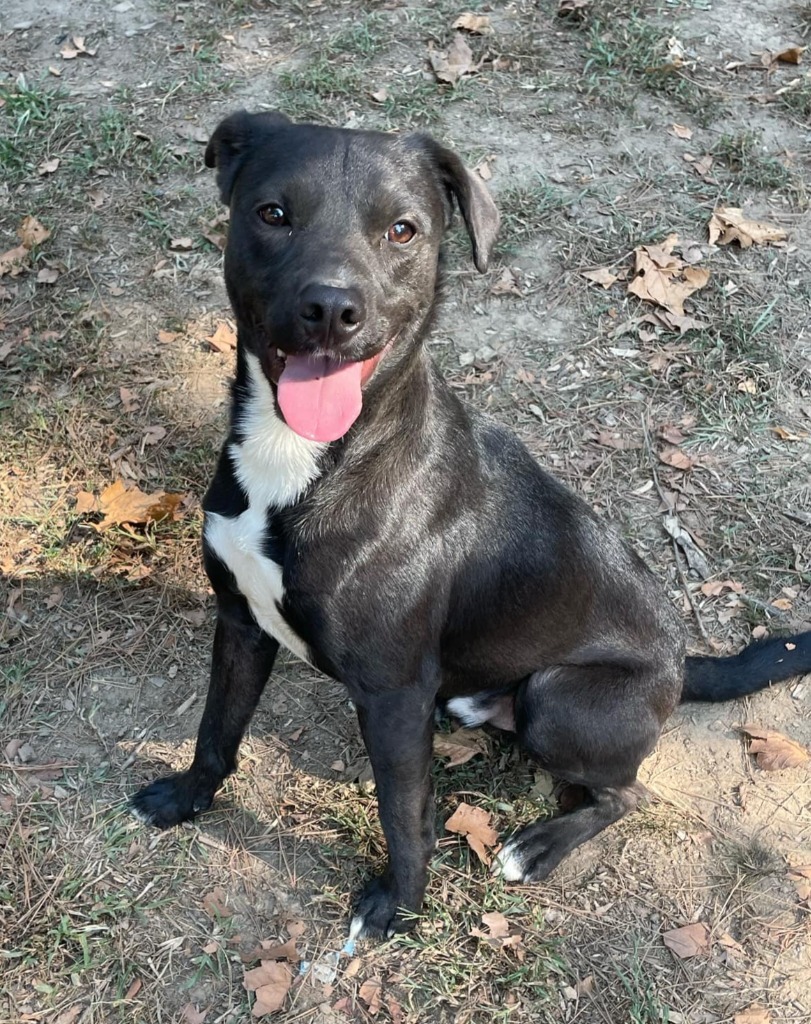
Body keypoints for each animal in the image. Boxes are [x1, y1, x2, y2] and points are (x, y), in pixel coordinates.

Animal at [133, 110, 811, 937]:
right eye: (271, 213)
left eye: (402, 230)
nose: (330, 309)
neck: (307, 455)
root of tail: (684, 663)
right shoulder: (239, 621)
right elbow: (216, 729)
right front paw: (187, 798)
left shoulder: (392, 694)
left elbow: (402, 815)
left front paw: (397, 905)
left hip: (558, 698)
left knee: (628, 792)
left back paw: (537, 847)